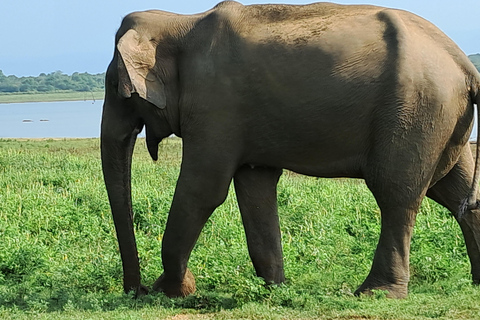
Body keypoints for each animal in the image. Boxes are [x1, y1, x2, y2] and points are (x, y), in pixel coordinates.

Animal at [100, 1, 480, 298]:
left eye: (115, 85)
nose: (136, 290)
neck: (180, 21)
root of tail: (466, 65)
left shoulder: (215, 105)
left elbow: (203, 190)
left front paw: (175, 290)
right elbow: (255, 188)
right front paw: (276, 288)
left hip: (415, 111)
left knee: (396, 194)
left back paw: (376, 293)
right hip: (439, 117)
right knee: (453, 189)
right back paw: (475, 282)